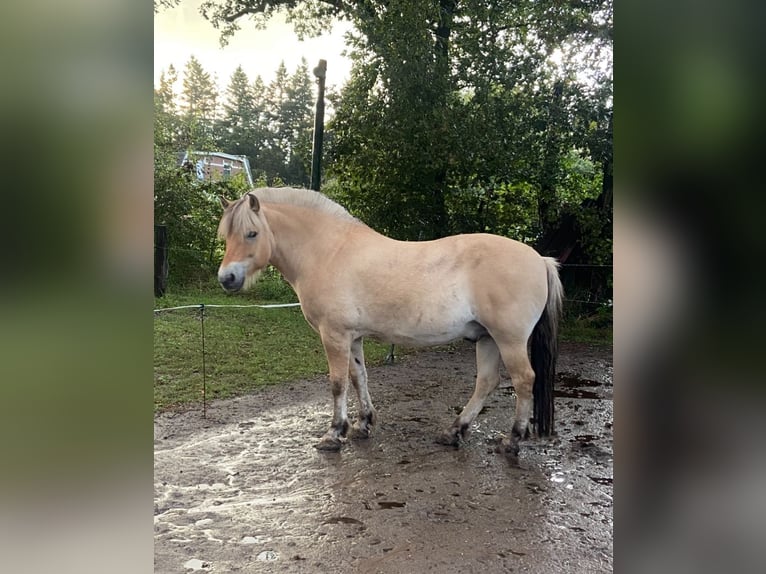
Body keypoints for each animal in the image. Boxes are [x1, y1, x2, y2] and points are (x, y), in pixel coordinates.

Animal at [216, 189, 564, 460]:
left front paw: (334, 434)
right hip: (487, 338)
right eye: (227, 235)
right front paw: (362, 424)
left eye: (251, 233)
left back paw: (511, 440)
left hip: (509, 340)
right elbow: (359, 378)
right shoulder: (352, 338)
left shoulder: (334, 336)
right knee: (487, 382)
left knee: (523, 381)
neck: (328, 251)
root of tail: (540, 259)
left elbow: (338, 383)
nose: (226, 278)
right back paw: (454, 431)